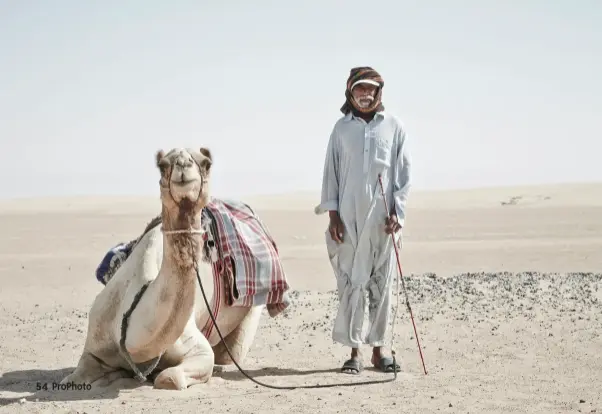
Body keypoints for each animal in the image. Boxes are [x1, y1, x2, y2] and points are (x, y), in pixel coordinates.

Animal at [59, 147, 278, 390]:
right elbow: (73, 377)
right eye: (163, 165)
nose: (183, 165)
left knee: (229, 353)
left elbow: (171, 377)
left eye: (206, 163)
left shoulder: (196, 348)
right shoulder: (95, 344)